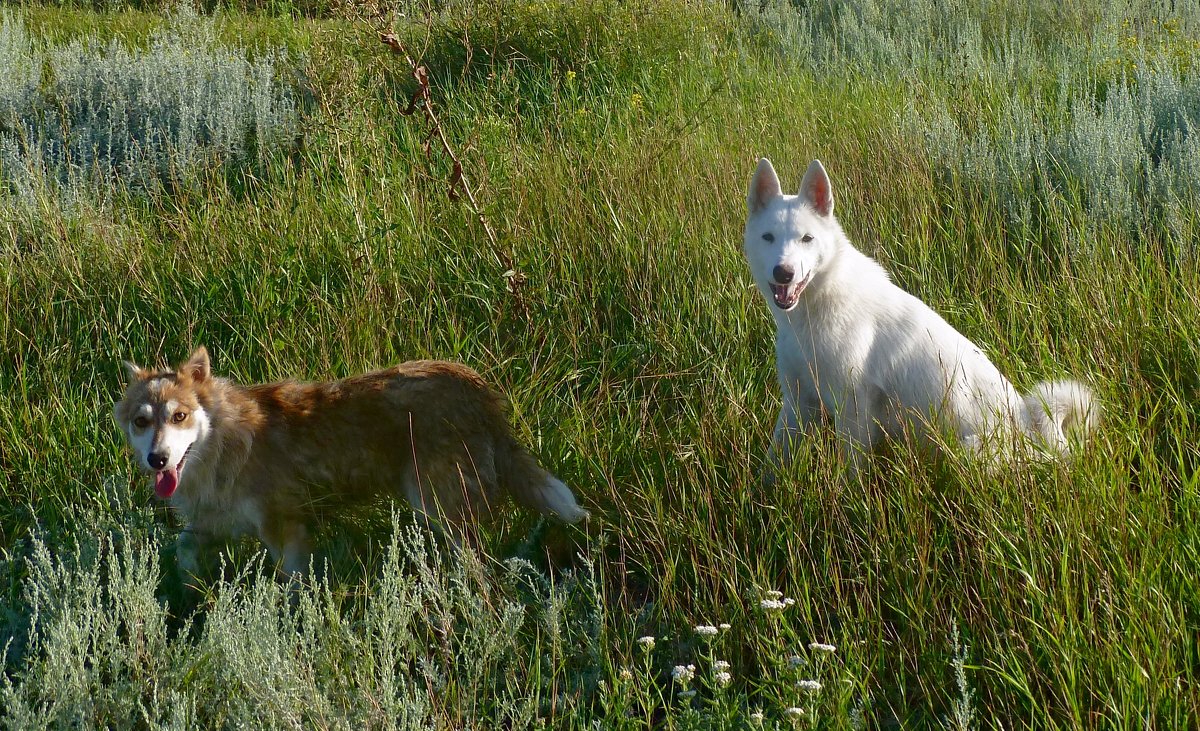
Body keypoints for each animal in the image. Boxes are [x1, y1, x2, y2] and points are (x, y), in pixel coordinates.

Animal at [744, 157, 1099, 480]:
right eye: (768, 237)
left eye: (806, 239)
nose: (784, 272)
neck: (813, 310)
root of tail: (1034, 436)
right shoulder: (797, 403)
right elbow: (773, 461)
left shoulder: (853, 411)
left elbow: (851, 474)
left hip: (966, 454)